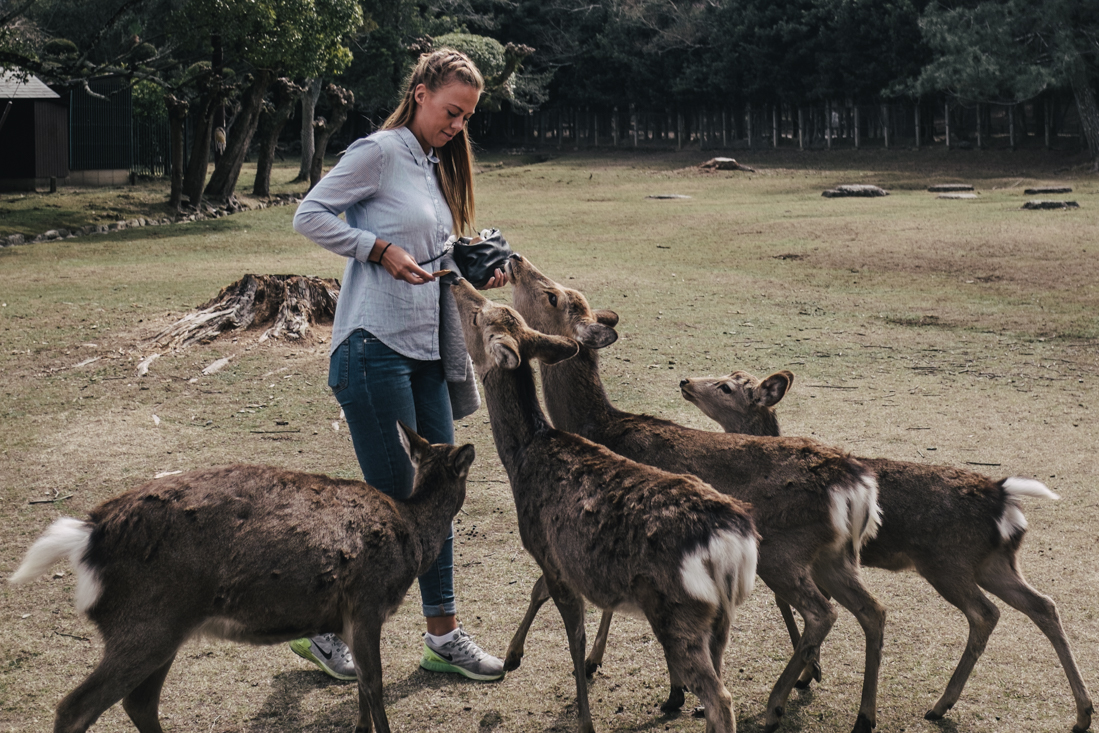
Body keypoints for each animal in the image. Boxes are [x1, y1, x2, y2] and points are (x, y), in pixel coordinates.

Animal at [9, 421, 472, 733]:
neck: (412, 536)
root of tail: (88, 536)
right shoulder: (368, 602)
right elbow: (374, 682)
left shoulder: (350, 616)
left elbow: (360, 681)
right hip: (144, 622)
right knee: (75, 707)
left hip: (163, 627)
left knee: (138, 702)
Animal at [505, 253, 883, 733]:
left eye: (553, 295)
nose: (515, 259)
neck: (598, 426)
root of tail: (857, 485)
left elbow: (547, 587)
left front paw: (521, 657)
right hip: (835, 556)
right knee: (873, 611)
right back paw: (861, 712)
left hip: (783, 551)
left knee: (823, 612)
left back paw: (777, 701)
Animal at [676, 369, 1090, 729]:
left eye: (727, 386)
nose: (686, 382)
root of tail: (1003, 498)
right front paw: (810, 672)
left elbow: (791, 605)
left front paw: (810, 672)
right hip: (996, 563)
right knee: (1043, 606)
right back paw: (1082, 712)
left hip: (947, 563)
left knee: (985, 613)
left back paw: (939, 704)